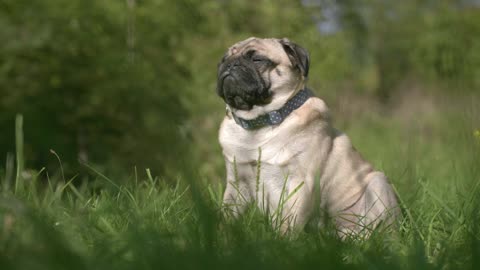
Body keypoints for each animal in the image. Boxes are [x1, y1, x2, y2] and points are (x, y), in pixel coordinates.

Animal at [216, 37, 400, 236]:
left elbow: (289, 223)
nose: (230, 64)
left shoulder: (300, 182)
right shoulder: (237, 185)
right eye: (223, 60)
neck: (259, 125)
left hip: (378, 183)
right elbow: (226, 215)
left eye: (257, 59)